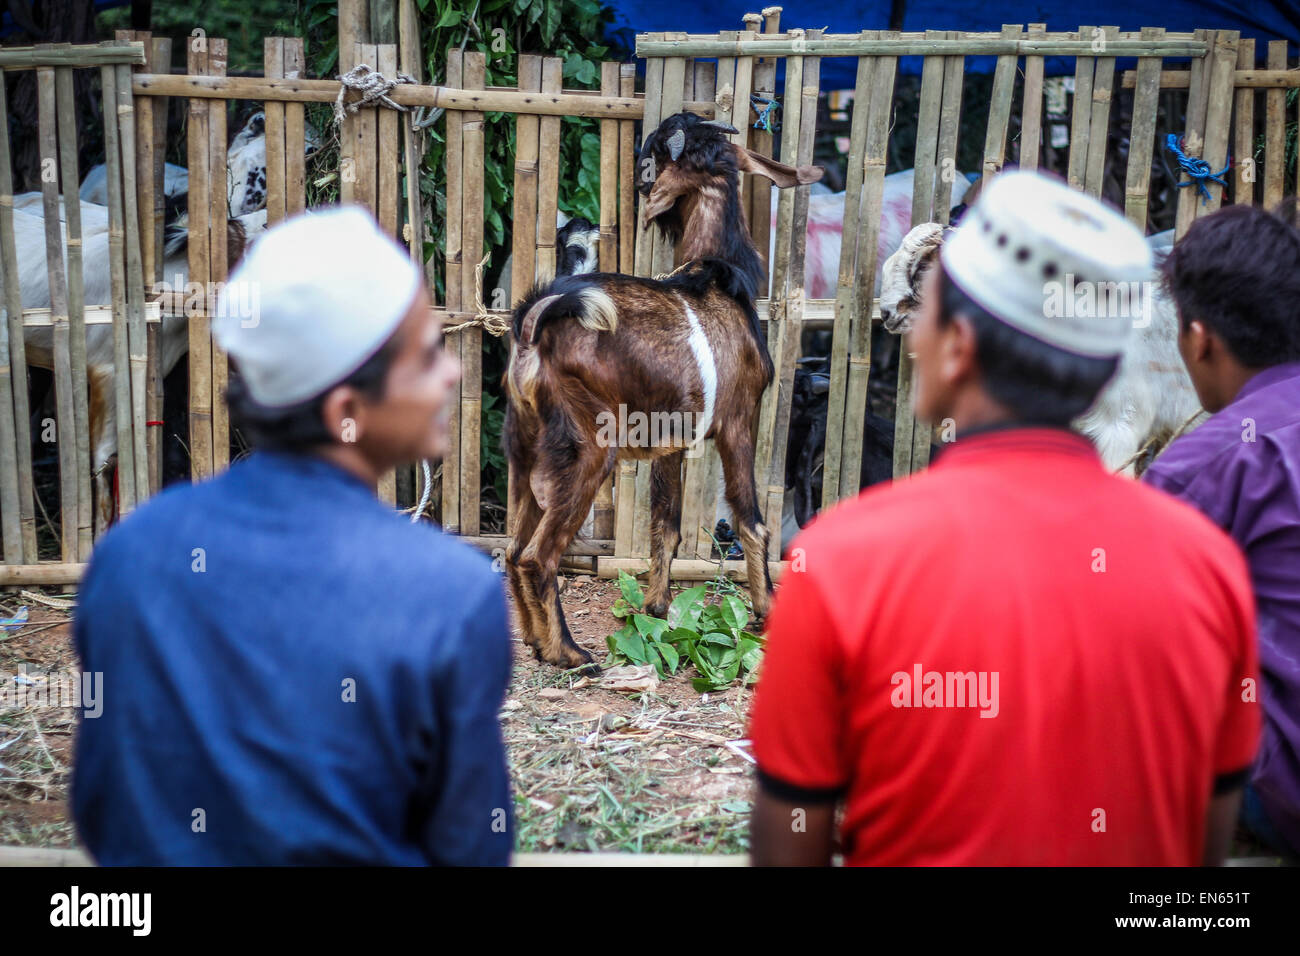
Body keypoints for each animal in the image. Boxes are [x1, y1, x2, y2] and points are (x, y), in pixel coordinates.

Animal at [501, 111, 816, 671]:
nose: (641, 183)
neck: (717, 274)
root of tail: (536, 321)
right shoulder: (738, 421)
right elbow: (752, 520)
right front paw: (764, 612)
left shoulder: (672, 438)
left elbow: (665, 525)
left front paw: (656, 610)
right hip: (588, 446)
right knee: (540, 555)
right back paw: (570, 653)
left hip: (525, 446)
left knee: (514, 551)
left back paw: (539, 644)